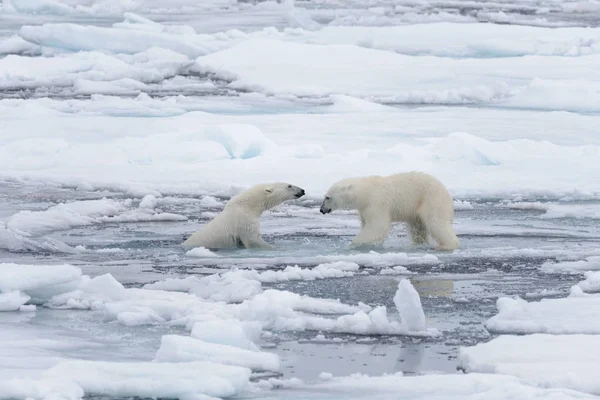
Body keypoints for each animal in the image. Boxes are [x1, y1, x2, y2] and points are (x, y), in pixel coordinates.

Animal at [322, 171, 458, 250]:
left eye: (327, 197)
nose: (322, 209)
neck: (366, 192)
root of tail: (447, 193)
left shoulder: (376, 203)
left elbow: (377, 226)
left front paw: (353, 244)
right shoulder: (364, 209)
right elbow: (366, 223)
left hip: (431, 200)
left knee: (436, 222)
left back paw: (446, 246)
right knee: (418, 228)